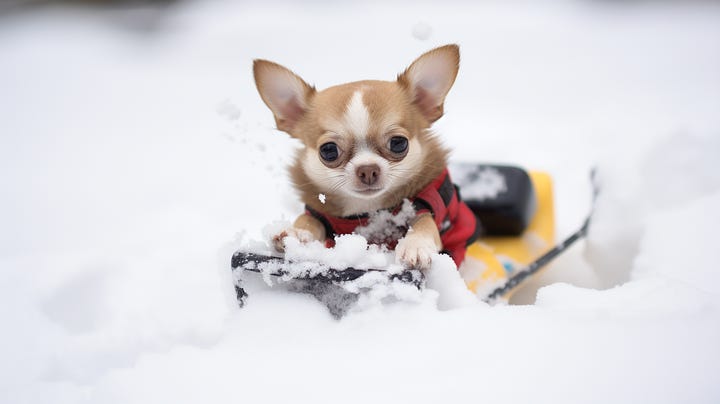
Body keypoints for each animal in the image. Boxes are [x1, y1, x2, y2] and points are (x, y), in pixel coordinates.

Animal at [252, 44, 478, 270]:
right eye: (328, 150)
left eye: (398, 143)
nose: (368, 170)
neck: (367, 212)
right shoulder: (318, 213)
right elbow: (307, 220)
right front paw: (296, 233)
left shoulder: (425, 204)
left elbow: (424, 223)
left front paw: (416, 244)